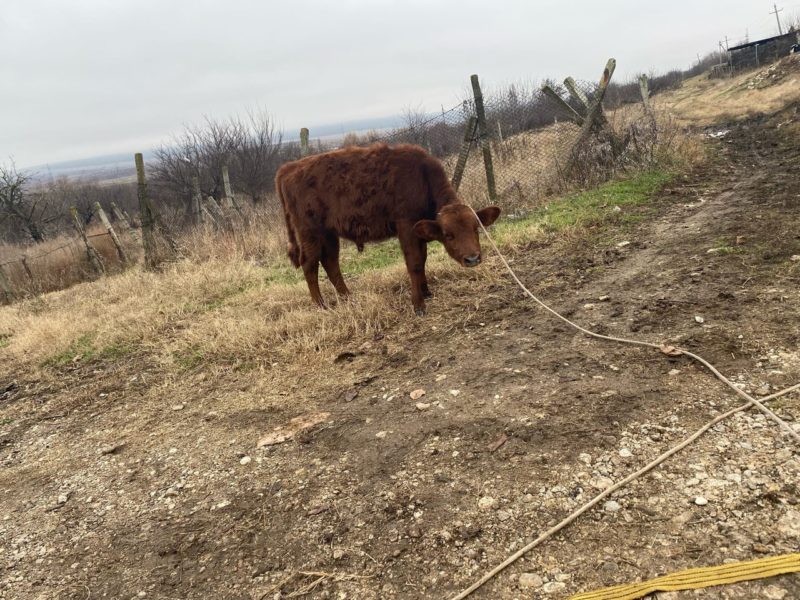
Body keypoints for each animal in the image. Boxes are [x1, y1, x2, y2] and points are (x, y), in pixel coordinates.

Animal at [276, 144, 500, 316]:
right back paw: (321, 306)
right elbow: (414, 263)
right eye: (448, 235)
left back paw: (348, 298)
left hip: (329, 235)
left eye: (476, 228)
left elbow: (423, 259)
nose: (473, 259)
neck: (422, 177)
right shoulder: (406, 226)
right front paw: (418, 304)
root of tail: (289, 167)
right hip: (310, 233)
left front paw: (426, 291)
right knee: (310, 265)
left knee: (330, 263)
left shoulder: (418, 231)